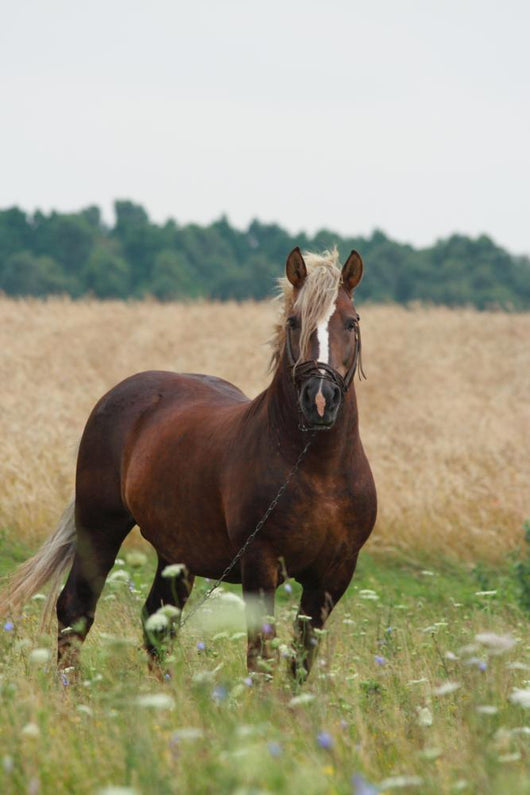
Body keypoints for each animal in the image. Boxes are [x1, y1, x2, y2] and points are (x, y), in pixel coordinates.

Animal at [0, 247, 377, 680]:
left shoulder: (332, 577)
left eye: (352, 322)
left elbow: (301, 659)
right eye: (294, 321)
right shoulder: (260, 566)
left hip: (175, 553)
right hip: (99, 528)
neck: (317, 469)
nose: (319, 399)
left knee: (158, 622)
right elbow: (260, 654)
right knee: (76, 608)